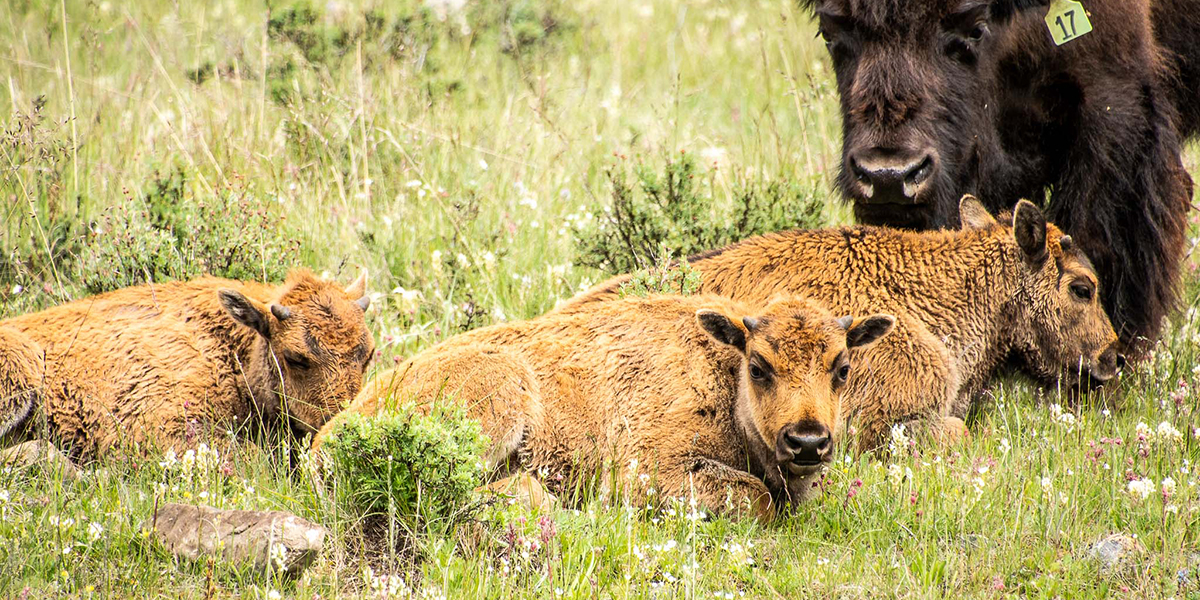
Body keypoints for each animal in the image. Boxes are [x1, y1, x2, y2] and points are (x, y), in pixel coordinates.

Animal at [314, 295, 897, 520]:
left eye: (842, 368)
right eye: (759, 366)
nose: (807, 442)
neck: (723, 373)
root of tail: (327, 437)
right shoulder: (649, 471)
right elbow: (755, 497)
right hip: (502, 393)